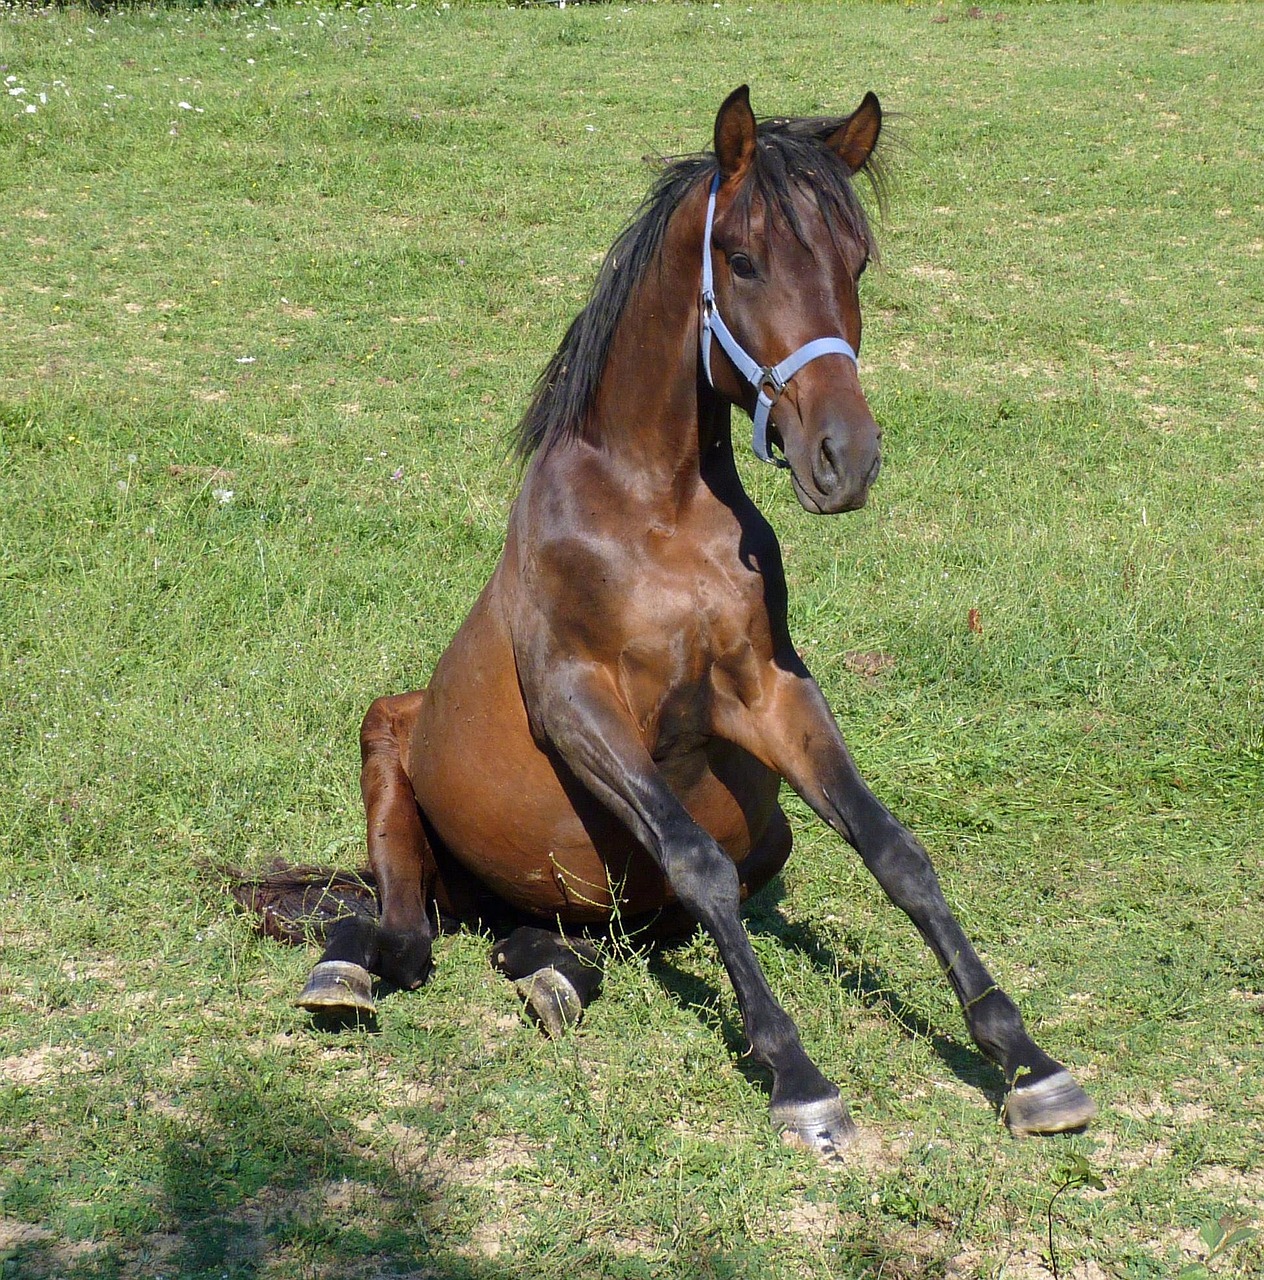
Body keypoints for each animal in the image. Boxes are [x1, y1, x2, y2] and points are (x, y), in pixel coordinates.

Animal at [261, 85, 1095, 1157]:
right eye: (740, 258)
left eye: (858, 258)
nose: (846, 458)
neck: (655, 514)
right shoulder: (577, 706)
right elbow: (699, 862)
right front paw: (798, 1078)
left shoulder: (770, 693)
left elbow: (895, 851)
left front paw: (1025, 1059)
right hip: (389, 746)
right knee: (408, 936)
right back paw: (346, 968)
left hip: (699, 854)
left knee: (567, 938)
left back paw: (550, 975)